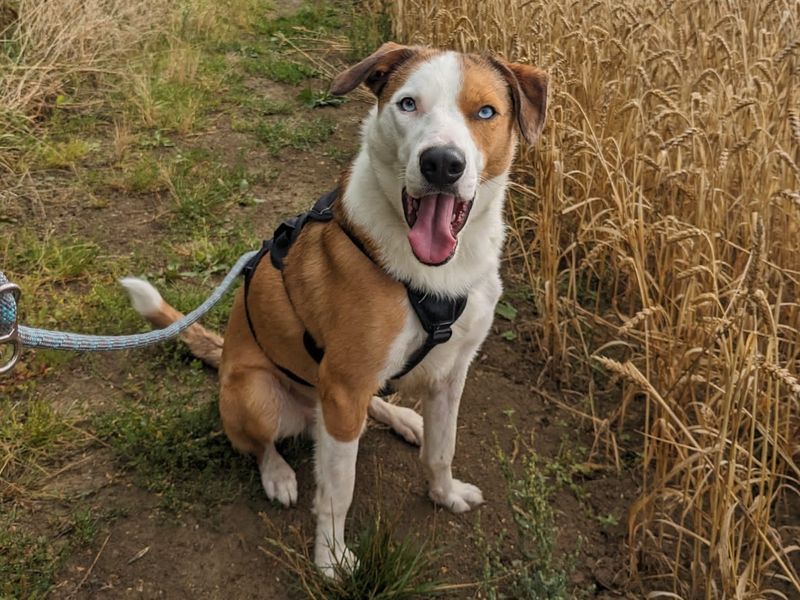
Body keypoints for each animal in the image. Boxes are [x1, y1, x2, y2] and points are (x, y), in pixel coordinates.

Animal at [122, 43, 548, 576]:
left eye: (486, 112)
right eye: (408, 104)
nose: (442, 164)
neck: (436, 276)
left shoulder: (451, 375)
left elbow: (442, 449)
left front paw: (445, 494)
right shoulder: (343, 391)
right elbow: (337, 493)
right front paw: (331, 559)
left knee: (375, 407)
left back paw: (402, 418)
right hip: (260, 396)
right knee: (259, 444)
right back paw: (278, 475)